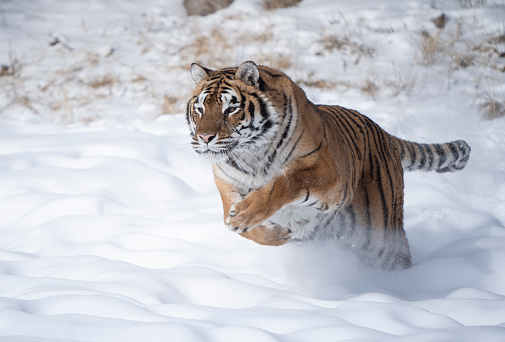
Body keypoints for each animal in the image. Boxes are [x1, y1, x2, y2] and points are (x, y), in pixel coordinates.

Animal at [184, 61, 468, 270]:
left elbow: (286, 180)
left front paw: (246, 215)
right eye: (200, 109)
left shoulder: (329, 173)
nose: (205, 138)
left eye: (230, 109)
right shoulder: (226, 181)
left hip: (381, 234)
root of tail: (385, 134)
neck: (250, 154)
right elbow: (237, 223)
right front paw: (274, 232)